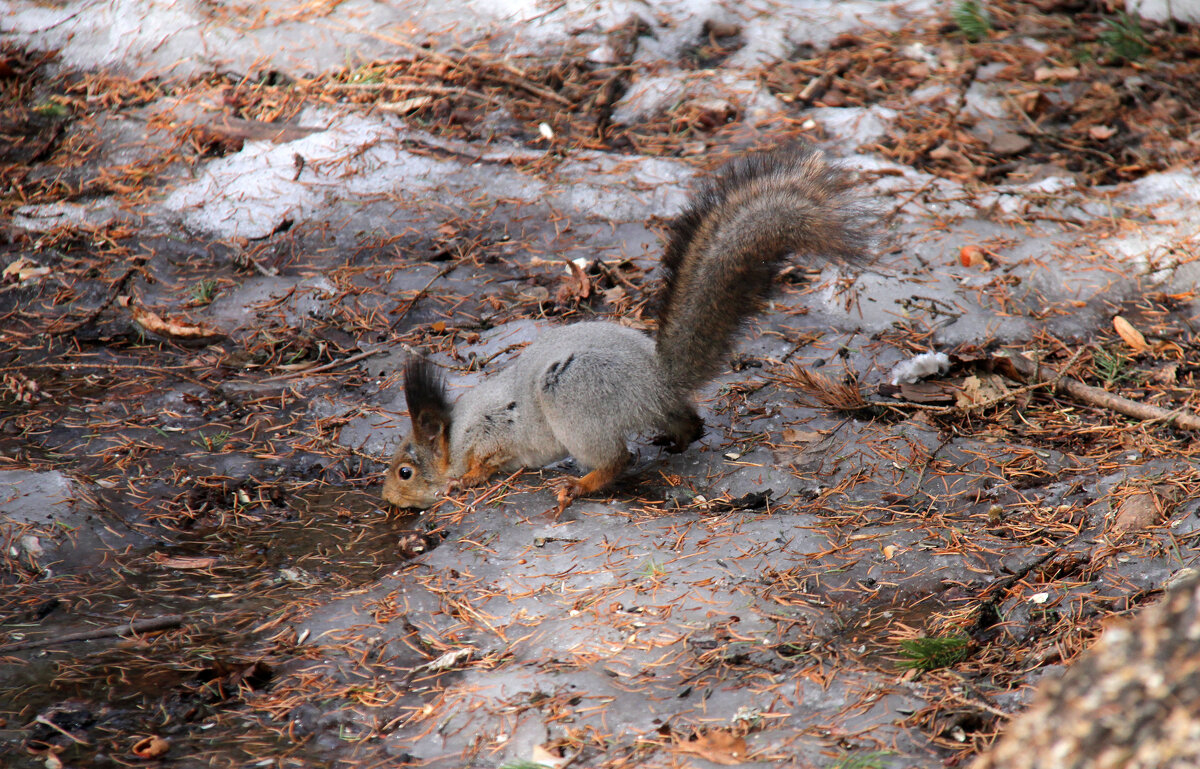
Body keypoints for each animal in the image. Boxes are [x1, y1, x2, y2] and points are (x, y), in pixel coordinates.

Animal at [384, 146, 873, 513]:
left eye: (405, 471)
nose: (388, 497)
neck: (455, 435)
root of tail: (656, 378)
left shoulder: (493, 432)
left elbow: (485, 463)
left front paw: (463, 482)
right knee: (686, 420)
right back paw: (679, 438)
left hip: (575, 398)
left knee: (618, 458)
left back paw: (580, 486)